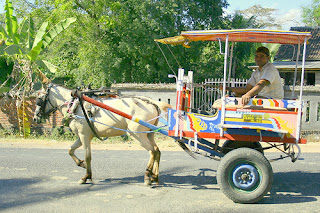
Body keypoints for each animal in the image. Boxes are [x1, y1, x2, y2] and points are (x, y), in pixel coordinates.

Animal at [32, 83, 172, 185]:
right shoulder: (82, 136)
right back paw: (155, 177)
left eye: (39, 99)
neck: (76, 105)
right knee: (157, 150)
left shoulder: (84, 136)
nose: (34, 118)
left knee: (152, 151)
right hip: (149, 133)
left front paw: (86, 177)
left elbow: (88, 156)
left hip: (137, 134)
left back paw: (147, 176)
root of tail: (152, 103)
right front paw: (81, 164)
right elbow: (70, 150)